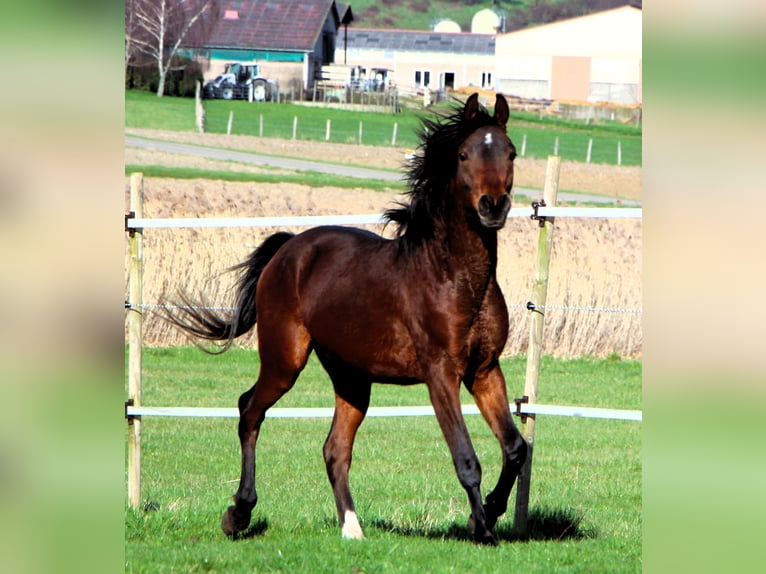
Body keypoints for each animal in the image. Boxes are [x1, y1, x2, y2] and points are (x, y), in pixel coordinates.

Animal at [166, 93, 528, 545]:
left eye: (510, 152)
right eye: (464, 154)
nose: (493, 206)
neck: (455, 277)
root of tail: (289, 248)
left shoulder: (484, 370)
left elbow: (515, 448)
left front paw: (492, 511)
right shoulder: (441, 372)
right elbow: (465, 457)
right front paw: (482, 528)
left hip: (351, 378)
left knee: (334, 449)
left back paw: (351, 528)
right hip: (285, 361)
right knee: (250, 410)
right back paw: (239, 513)